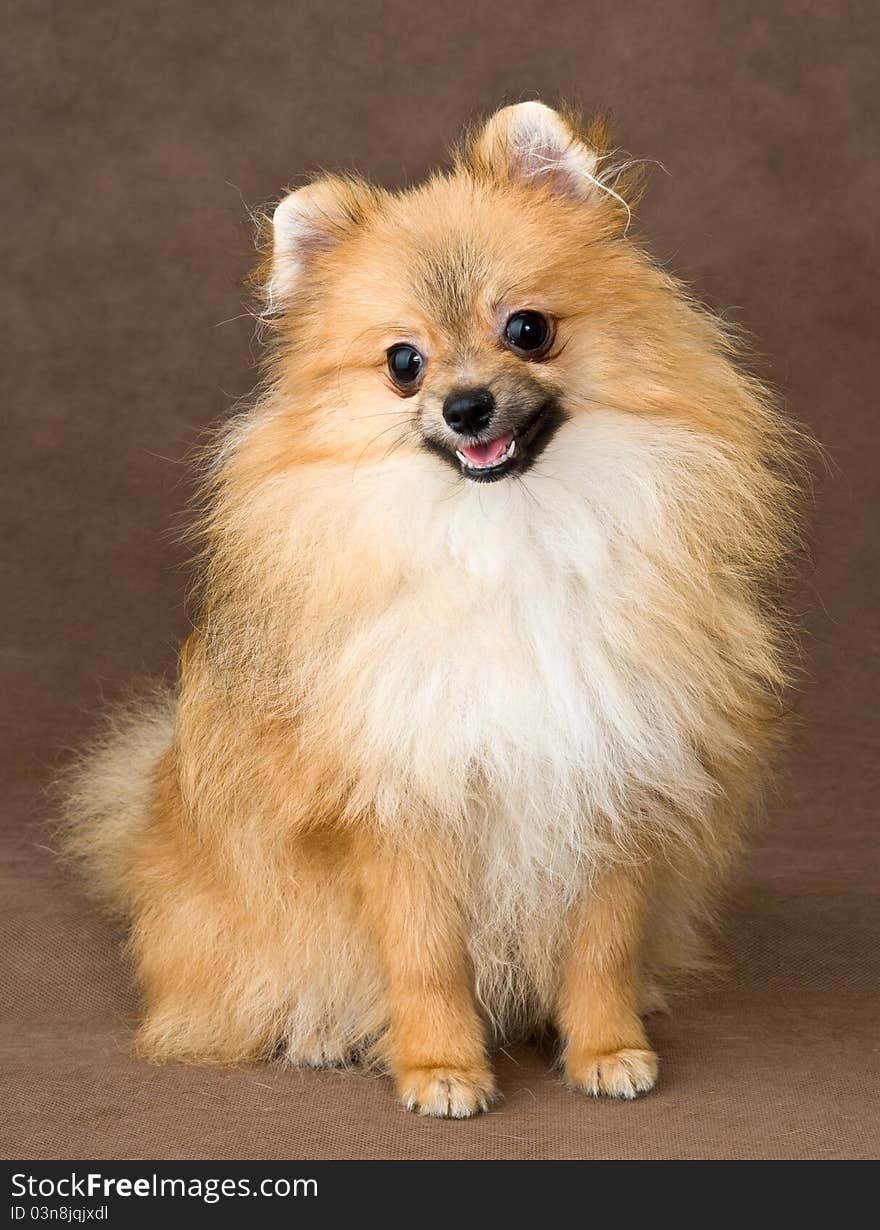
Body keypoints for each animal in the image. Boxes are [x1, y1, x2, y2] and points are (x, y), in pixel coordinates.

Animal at [61, 105, 802, 1121]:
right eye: (403, 364)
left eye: (527, 329)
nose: (467, 404)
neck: (510, 533)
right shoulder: (401, 806)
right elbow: (425, 959)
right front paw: (441, 1068)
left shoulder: (611, 775)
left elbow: (601, 949)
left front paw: (608, 1050)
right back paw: (323, 1036)